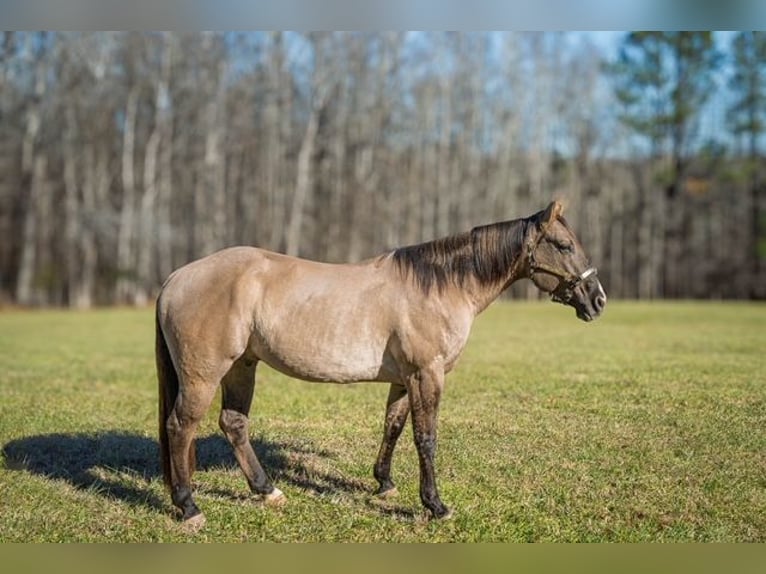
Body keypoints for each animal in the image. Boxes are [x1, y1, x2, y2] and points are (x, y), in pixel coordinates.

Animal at [156, 200, 606, 528]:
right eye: (564, 245)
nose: (598, 300)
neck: (439, 286)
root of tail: (176, 277)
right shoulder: (427, 374)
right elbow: (426, 438)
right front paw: (435, 505)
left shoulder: (405, 378)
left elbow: (393, 426)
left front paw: (385, 484)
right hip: (204, 375)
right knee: (180, 427)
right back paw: (189, 507)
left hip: (242, 366)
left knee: (233, 424)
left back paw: (266, 491)